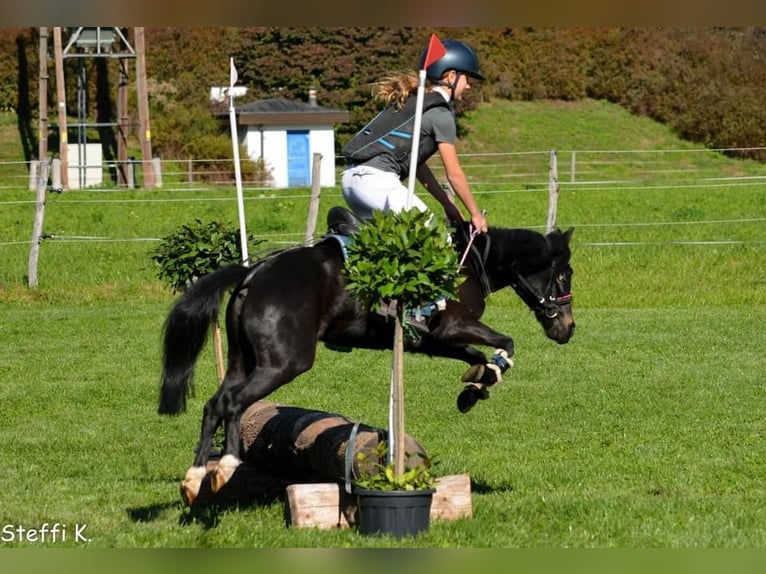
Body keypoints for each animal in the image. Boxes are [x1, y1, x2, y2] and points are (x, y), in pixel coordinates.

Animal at [159, 210, 572, 504]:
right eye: (563, 276)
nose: (567, 330)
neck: (471, 263)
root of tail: (254, 273)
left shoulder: (434, 340)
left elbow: (474, 354)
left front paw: (476, 385)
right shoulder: (453, 326)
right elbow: (507, 342)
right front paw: (488, 375)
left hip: (241, 360)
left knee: (215, 403)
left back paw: (195, 478)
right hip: (284, 363)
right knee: (232, 402)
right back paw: (226, 466)